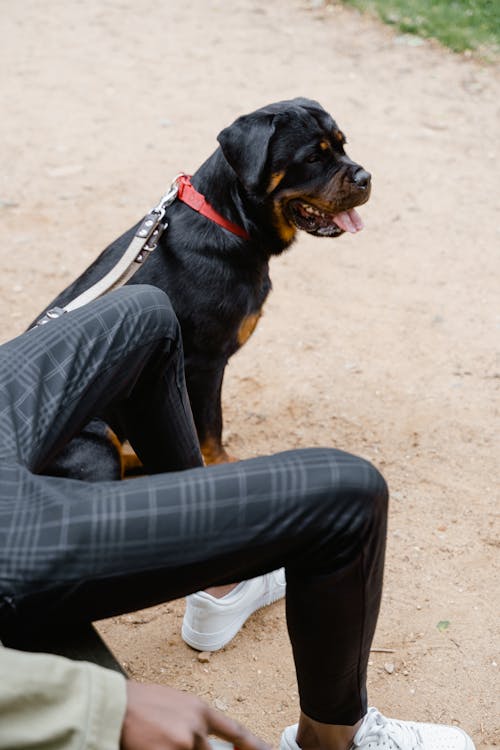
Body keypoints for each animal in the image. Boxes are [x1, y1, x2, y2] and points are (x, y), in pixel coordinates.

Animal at [36, 97, 372, 478]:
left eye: (343, 144)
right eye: (313, 158)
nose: (366, 177)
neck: (231, 223)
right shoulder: (205, 365)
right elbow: (210, 428)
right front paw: (221, 466)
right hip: (97, 437)